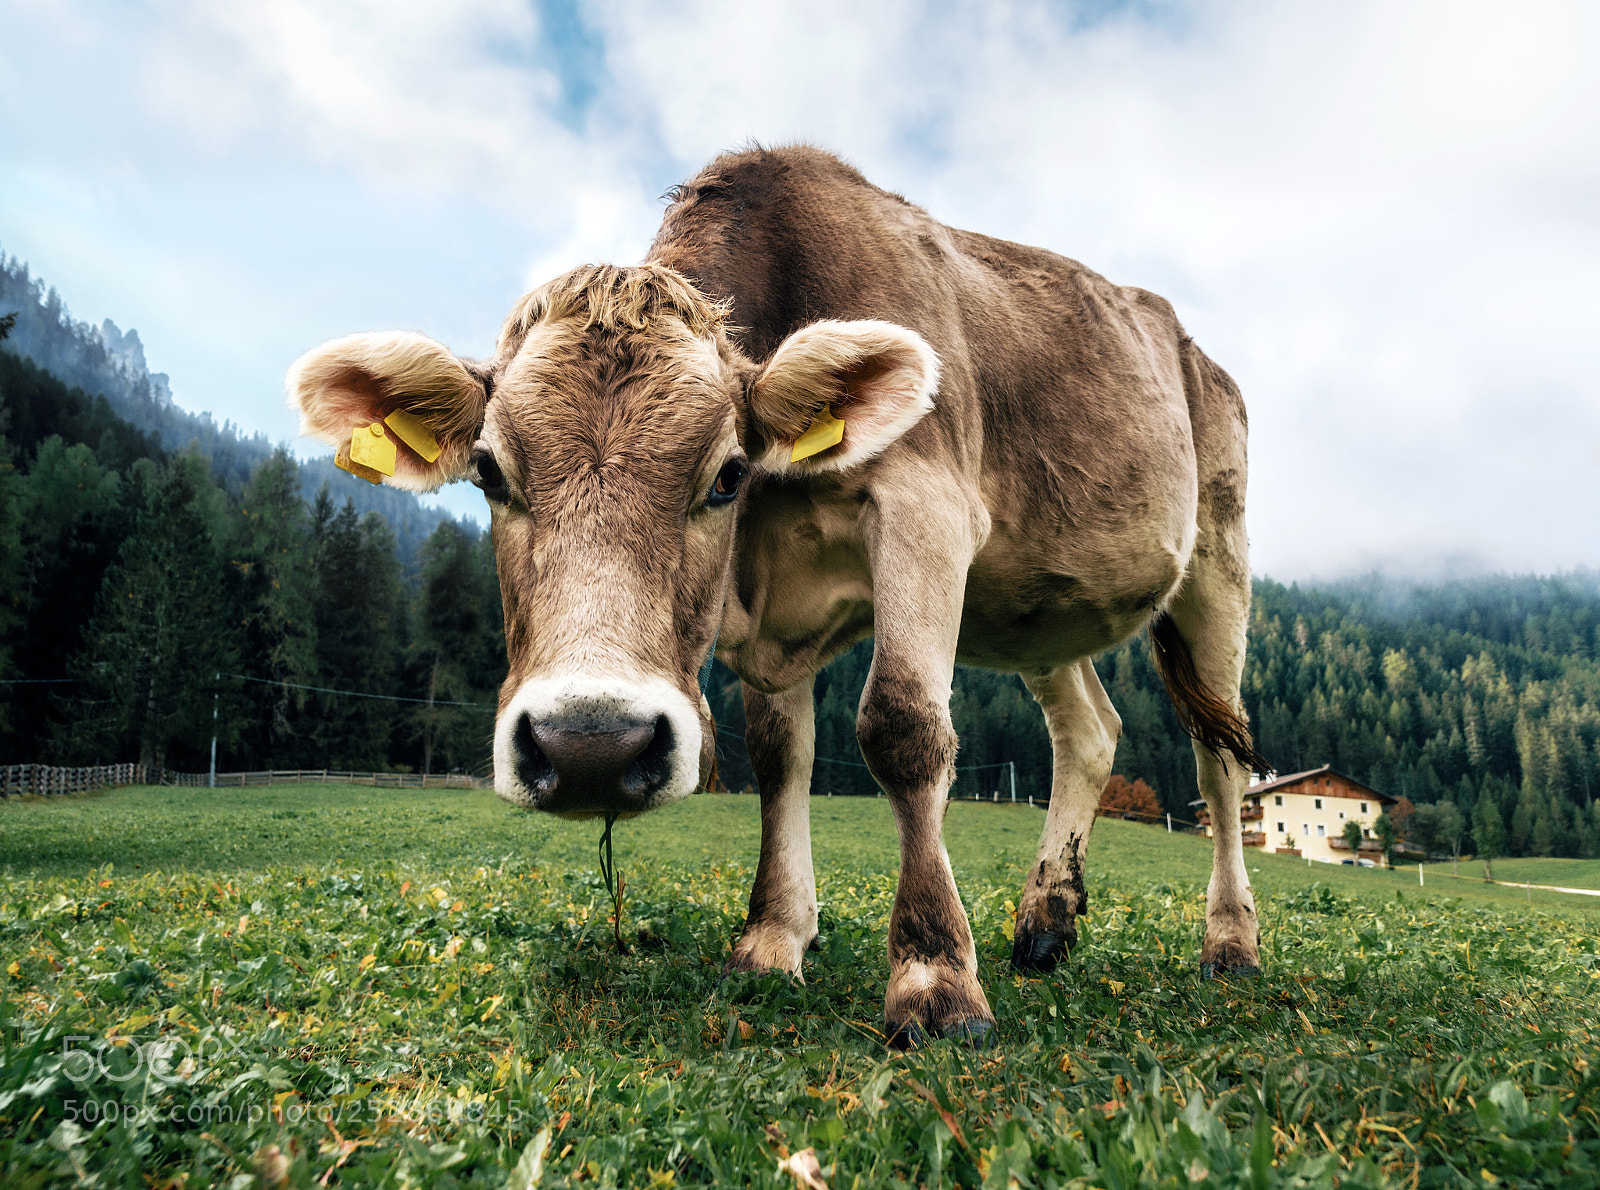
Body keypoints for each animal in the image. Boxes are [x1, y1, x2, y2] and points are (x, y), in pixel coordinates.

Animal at [289, 145, 1269, 1046]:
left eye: (726, 475)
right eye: (490, 472)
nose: (590, 747)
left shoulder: (926, 510)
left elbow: (903, 729)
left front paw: (935, 980)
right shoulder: (769, 621)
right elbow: (777, 754)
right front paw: (772, 939)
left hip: (1218, 558)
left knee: (1220, 759)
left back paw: (1230, 942)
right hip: (1032, 609)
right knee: (1090, 732)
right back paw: (1046, 920)